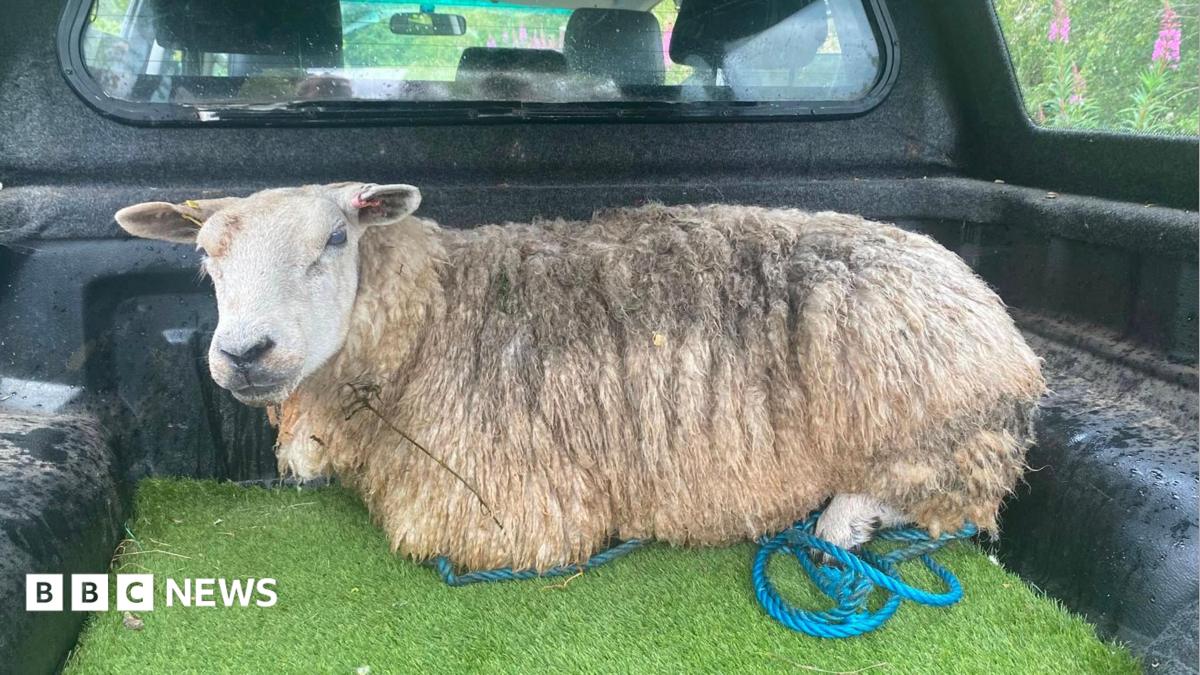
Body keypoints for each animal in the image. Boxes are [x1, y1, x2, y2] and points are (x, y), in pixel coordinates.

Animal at [114, 182, 1045, 572]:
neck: (433, 314)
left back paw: (840, 523)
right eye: (205, 256)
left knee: (946, 495)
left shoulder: (506, 513)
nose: (246, 351)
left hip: (924, 415)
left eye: (336, 238)